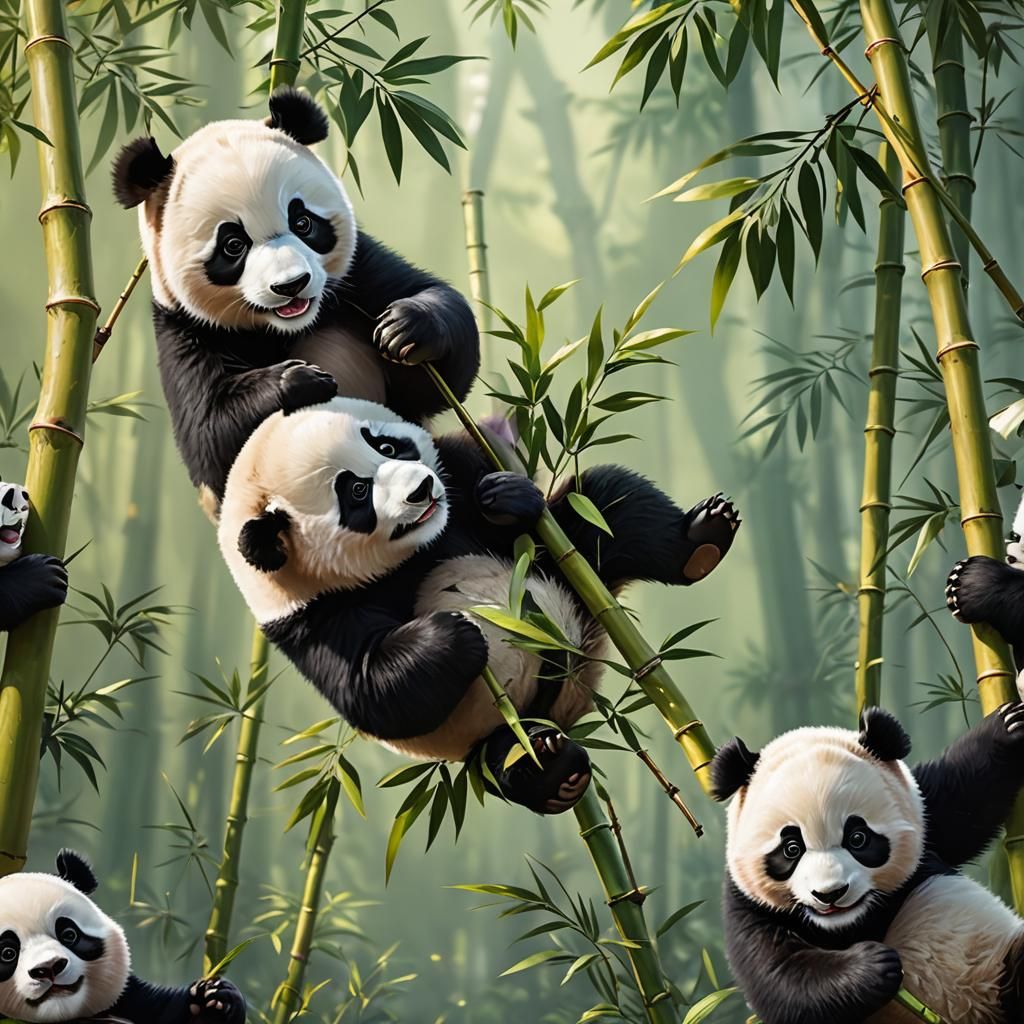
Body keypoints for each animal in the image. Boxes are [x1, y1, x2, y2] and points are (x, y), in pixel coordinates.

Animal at [110, 88, 480, 510]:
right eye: (233, 244)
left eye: (302, 222)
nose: (292, 285)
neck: (284, 327)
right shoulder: (185, 329)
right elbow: (209, 436)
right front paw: (300, 379)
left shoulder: (357, 275)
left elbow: (436, 374)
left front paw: (405, 328)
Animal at [216, 397, 740, 814]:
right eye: (357, 490)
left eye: (388, 446)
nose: (423, 490)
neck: (412, 550)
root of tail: (572, 698)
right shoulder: (311, 614)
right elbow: (374, 693)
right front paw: (457, 632)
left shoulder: (458, 470)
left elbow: (504, 492)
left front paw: (506, 496)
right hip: (490, 731)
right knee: (506, 760)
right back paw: (555, 776)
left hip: (571, 575)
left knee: (607, 507)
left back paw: (702, 541)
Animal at [711, 705, 1024, 1024]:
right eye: (791, 849)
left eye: (858, 838)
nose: (830, 893)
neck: (850, 924)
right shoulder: (747, 904)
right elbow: (779, 977)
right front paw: (875, 965)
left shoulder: (926, 816)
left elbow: (964, 798)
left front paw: (1007, 724)